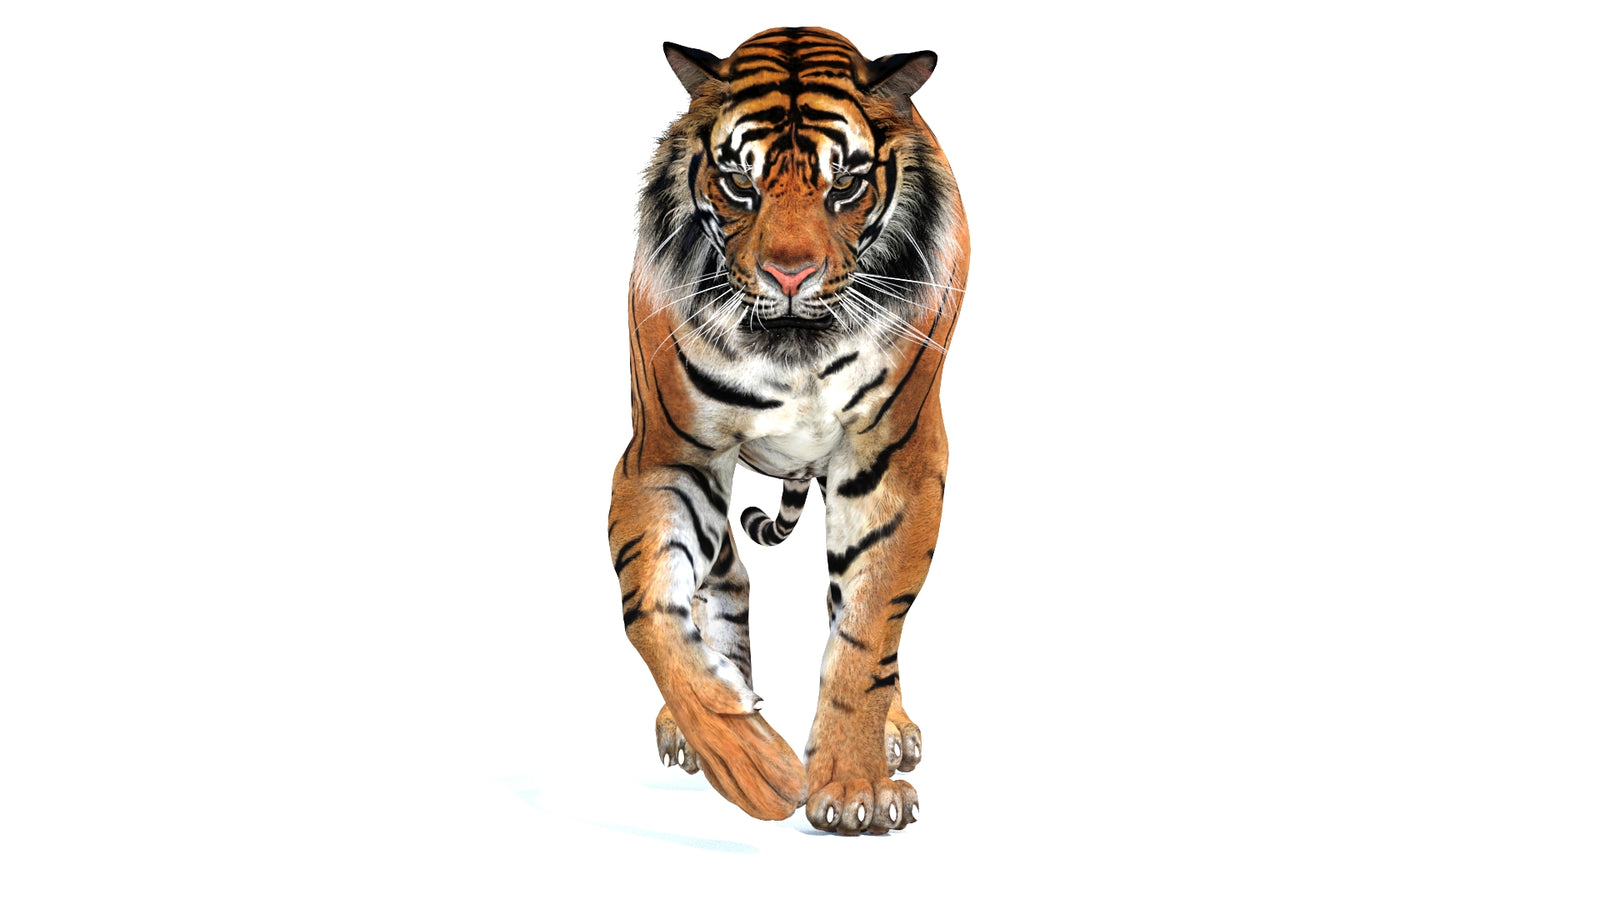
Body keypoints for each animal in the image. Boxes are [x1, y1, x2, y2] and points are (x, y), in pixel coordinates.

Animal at [608, 26, 968, 835]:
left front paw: (856, 787)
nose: (790, 276)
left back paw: (893, 731)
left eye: (846, 185)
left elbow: (866, 632)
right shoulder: (667, 458)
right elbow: (651, 612)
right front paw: (753, 765)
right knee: (723, 581)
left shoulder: (895, 461)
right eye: (740, 185)